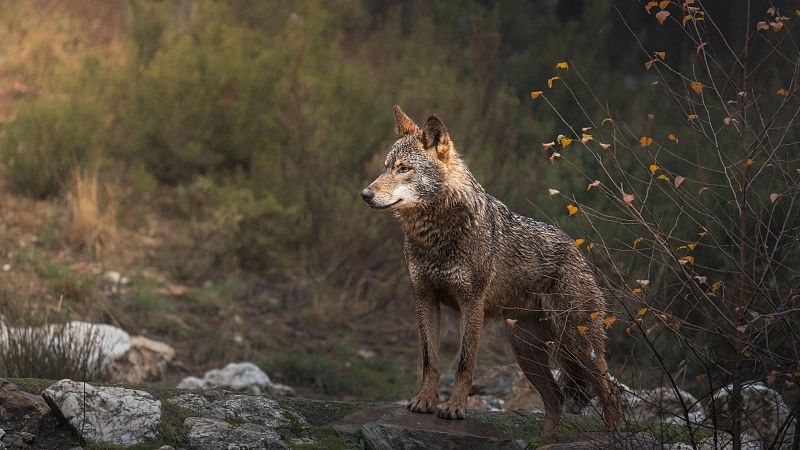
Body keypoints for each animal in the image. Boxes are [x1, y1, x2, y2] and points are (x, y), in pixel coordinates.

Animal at [360, 106, 619, 433]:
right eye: (385, 167)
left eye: (404, 168)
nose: (365, 194)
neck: (435, 233)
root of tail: (578, 251)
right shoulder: (424, 299)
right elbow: (429, 359)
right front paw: (424, 401)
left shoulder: (471, 303)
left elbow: (464, 363)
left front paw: (455, 408)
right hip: (527, 351)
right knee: (556, 399)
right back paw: (546, 440)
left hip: (578, 343)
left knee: (609, 391)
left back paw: (613, 436)